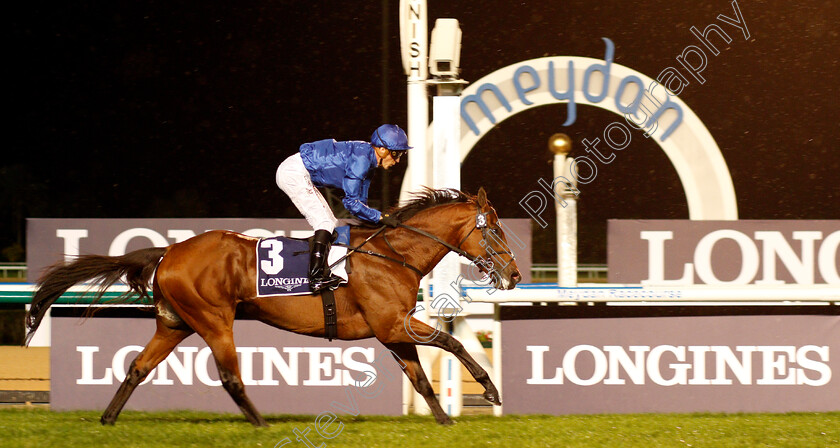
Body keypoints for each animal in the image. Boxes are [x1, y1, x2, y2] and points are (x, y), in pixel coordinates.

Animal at [24, 187, 520, 426]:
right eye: (494, 229)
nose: (514, 275)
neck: (393, 254)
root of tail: (169, 252)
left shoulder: (391, 331)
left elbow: (420, 379)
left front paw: (445, 421)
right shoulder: (393, 324)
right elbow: (454, 345)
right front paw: (491, 390)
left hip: (174, 324)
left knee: (137, 368)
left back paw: (107, 419)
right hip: (213, 320)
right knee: (229, 376)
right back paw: (262, 426)